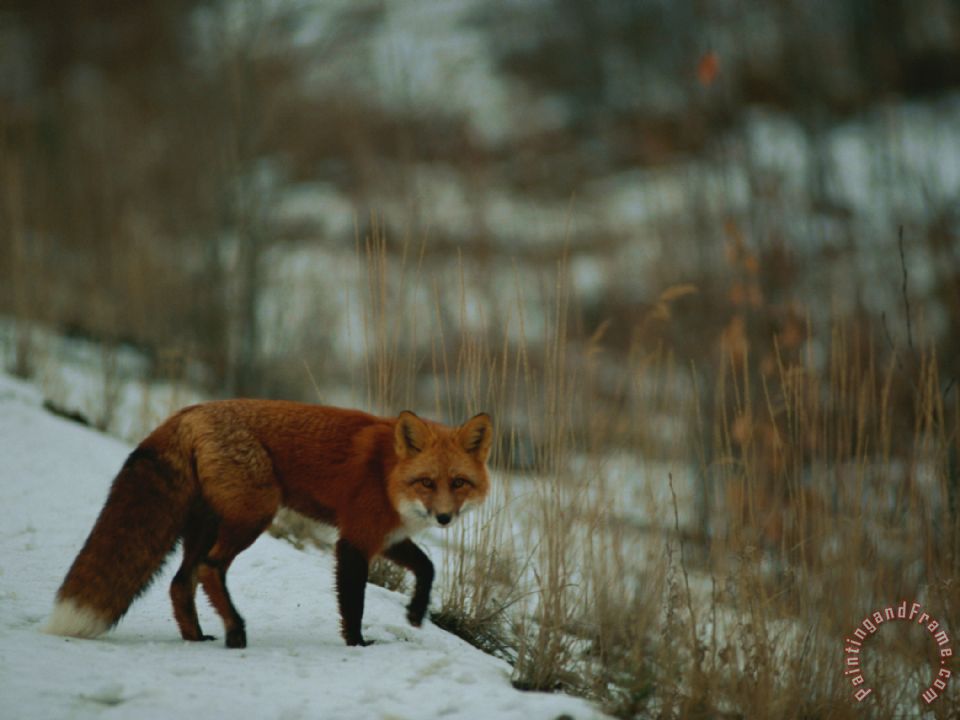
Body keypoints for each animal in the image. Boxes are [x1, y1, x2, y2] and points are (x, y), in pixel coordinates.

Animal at [43, 400, 492, 648]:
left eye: (458, 483)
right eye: (427, 482)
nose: (444, 517)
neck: (387, 474)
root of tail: (188, 412)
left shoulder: (385, 536)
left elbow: (427, 567)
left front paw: (416, 614)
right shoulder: (354, 540)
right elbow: (354, 604)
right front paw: (358, 645)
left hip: (208, 524)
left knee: (180, 583)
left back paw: (197, 637)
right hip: (254, 515)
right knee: (210, 570)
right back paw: (235, 631)